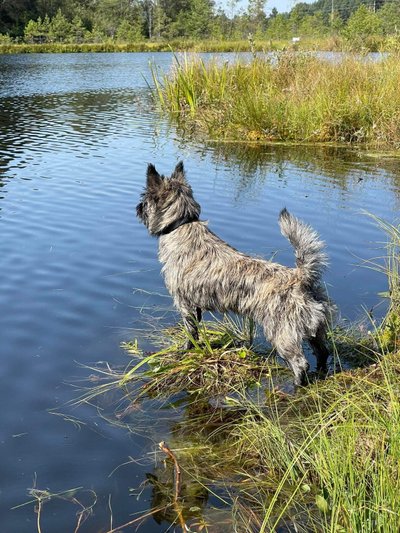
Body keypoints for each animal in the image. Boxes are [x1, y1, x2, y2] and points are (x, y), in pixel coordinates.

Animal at [138, 160, 334, 384]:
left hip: (282, 332)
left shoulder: (184, 302)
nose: (138, 208)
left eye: (145, 200)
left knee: (300, 363)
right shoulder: (195, 306)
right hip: (316, 328)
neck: (182, 224)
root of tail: (301, 278)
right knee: (323, 352)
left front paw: (186, 350)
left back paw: (296, 384)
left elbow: (190, 332)